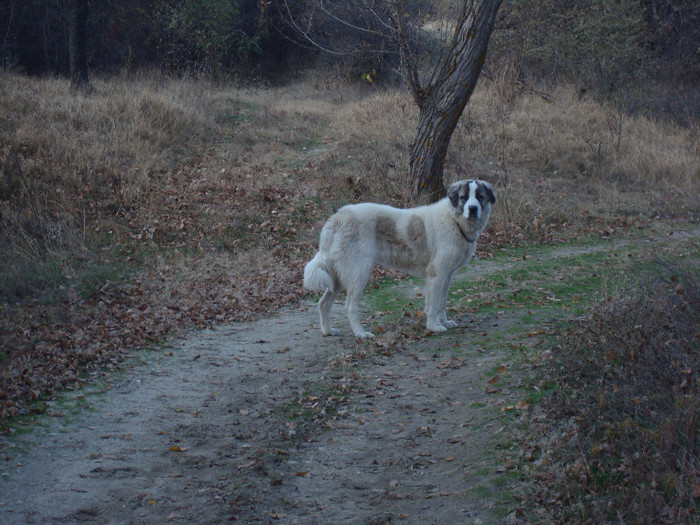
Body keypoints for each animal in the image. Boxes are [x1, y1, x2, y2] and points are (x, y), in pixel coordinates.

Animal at [304, 178, 494, 338]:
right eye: (464, 197)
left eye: (479, 197)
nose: (473, 208)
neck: (454, 220)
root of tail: (337, 217)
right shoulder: (437, 274)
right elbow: (432, 305)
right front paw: (434, 327)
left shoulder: (448, 275)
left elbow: (442, 302)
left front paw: (445, 322)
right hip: (359, 273)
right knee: (349, 307)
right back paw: (361, 333)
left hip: (338, 278)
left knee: (323, 304)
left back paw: (328, 331)